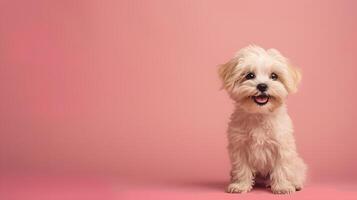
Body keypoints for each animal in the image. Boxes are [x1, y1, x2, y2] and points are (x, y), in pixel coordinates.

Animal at [217, 45, 306, 194]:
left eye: (274, 76)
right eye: (250, 75)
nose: (262, 86)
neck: (260, 114)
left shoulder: (282, 146)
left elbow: (281, 167)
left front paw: (282, 187)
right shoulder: (239, 146)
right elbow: (241, 167)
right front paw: (241, 185)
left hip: (297, 164)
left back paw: (295, 184)